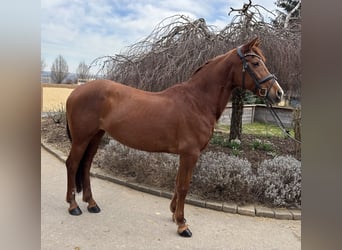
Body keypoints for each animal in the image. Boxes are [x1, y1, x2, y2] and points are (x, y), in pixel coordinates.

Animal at [64, 37, 284, 236]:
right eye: (256, 63)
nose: (278, 93)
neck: (197, 101)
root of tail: (76, 92)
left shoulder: (185, 155)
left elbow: (178, 183)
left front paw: (174, 214)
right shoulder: (190, 154)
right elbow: (184, 186)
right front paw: (182, 224)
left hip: (95, 136)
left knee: (86, 165)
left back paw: (91, 203)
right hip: (82, 138)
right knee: (72, 164)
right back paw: (73, 206)